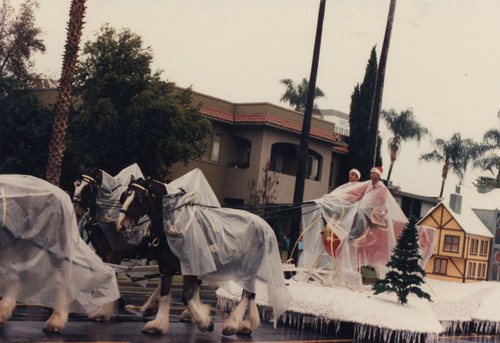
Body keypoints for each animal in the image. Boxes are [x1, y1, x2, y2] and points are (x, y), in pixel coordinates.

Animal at [115, 171, 292, 336]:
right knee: (251, 293)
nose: (121, 225)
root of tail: (266, 226)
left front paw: (205, 322)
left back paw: (233, 325)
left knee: (247, 293)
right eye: (124, 196)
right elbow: (166, 294)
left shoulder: (191, 268)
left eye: (139, 199)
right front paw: (158, 323)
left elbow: (186, 297)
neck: (172, 222)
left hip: (247, 267)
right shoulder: (166, 266)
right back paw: (247, 324)